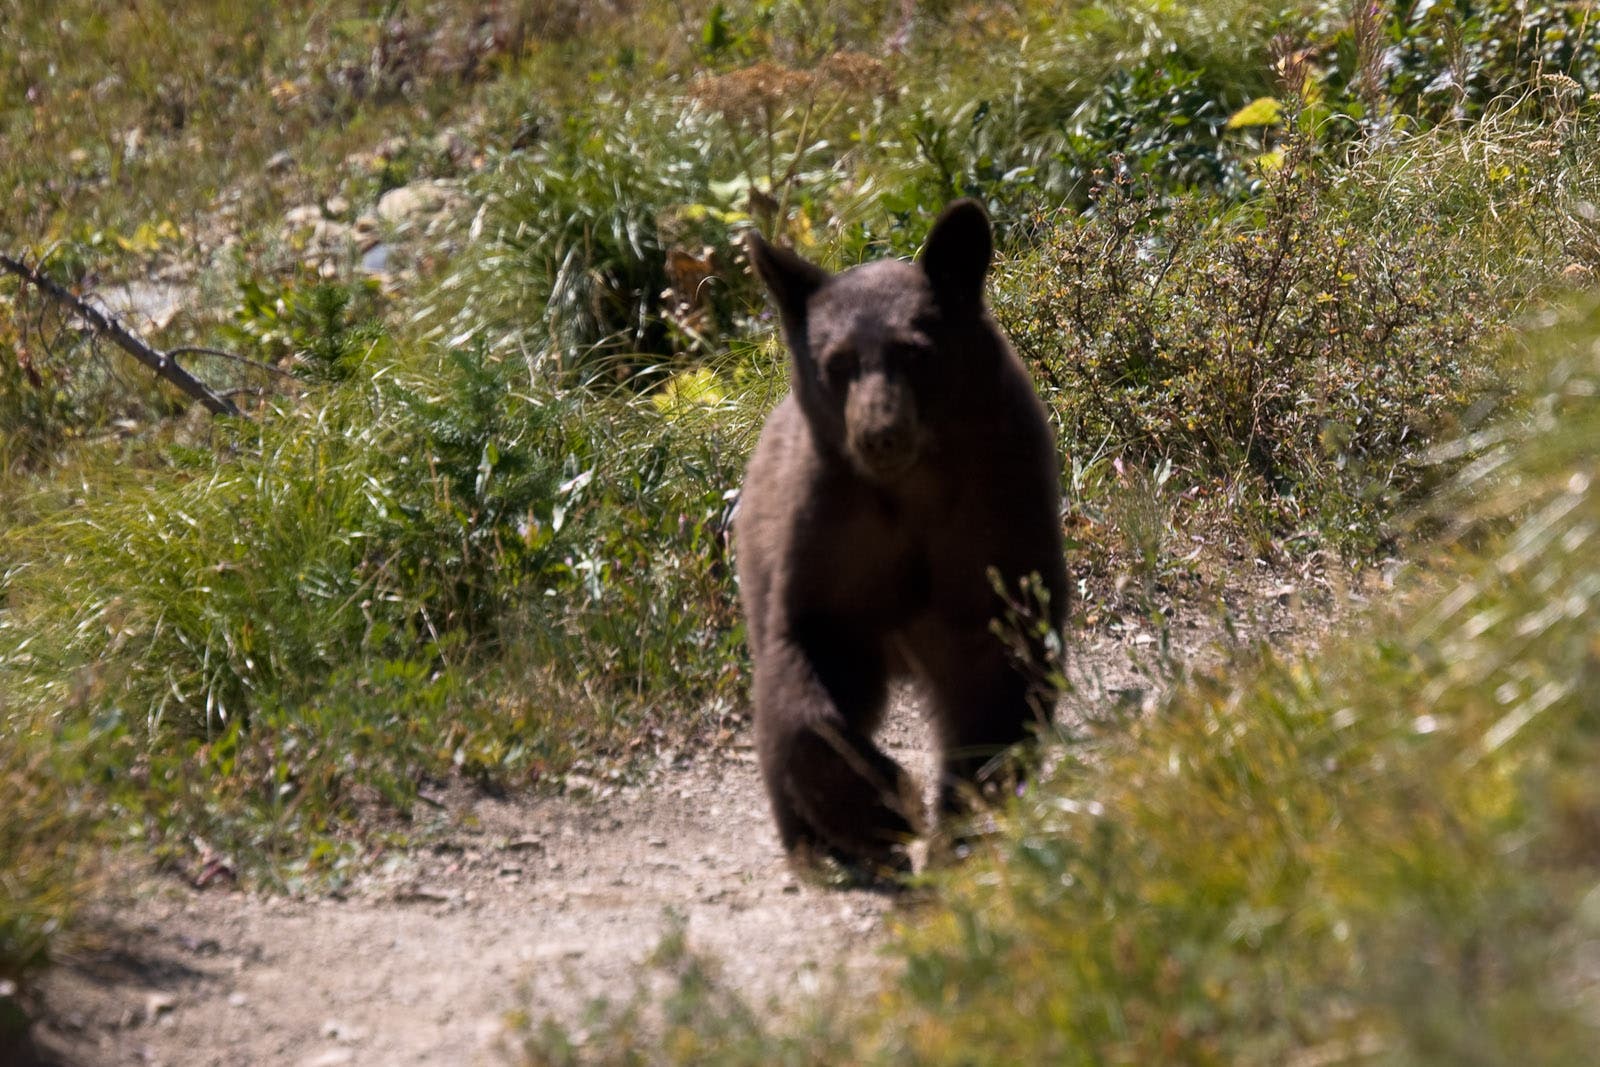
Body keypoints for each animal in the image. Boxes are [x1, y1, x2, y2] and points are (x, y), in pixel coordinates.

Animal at [735, 199, 1068, 877]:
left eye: (915, 352)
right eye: (837, 363)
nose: (879, 433)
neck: (912, 489)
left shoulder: (997, 513)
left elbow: (999, 668)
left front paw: (961, 822)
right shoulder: (830, 531)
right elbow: (806, 666)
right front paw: (879, 810)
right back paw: (810, 843)